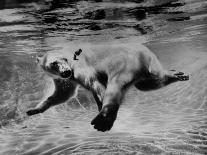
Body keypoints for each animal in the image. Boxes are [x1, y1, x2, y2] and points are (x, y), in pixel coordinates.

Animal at [26, 43, 189, 131]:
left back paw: (103, 119)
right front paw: (33, 110)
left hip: (125, 63)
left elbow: (94, 83)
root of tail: (145, 53)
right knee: (149, 83)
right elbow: (63, 94)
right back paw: (177, 74)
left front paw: (101, 107)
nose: (66, 71)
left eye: (65, 59)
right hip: (145, 70)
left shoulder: (80, 67)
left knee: (116, 85)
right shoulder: (63, 79)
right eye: (54, 63)